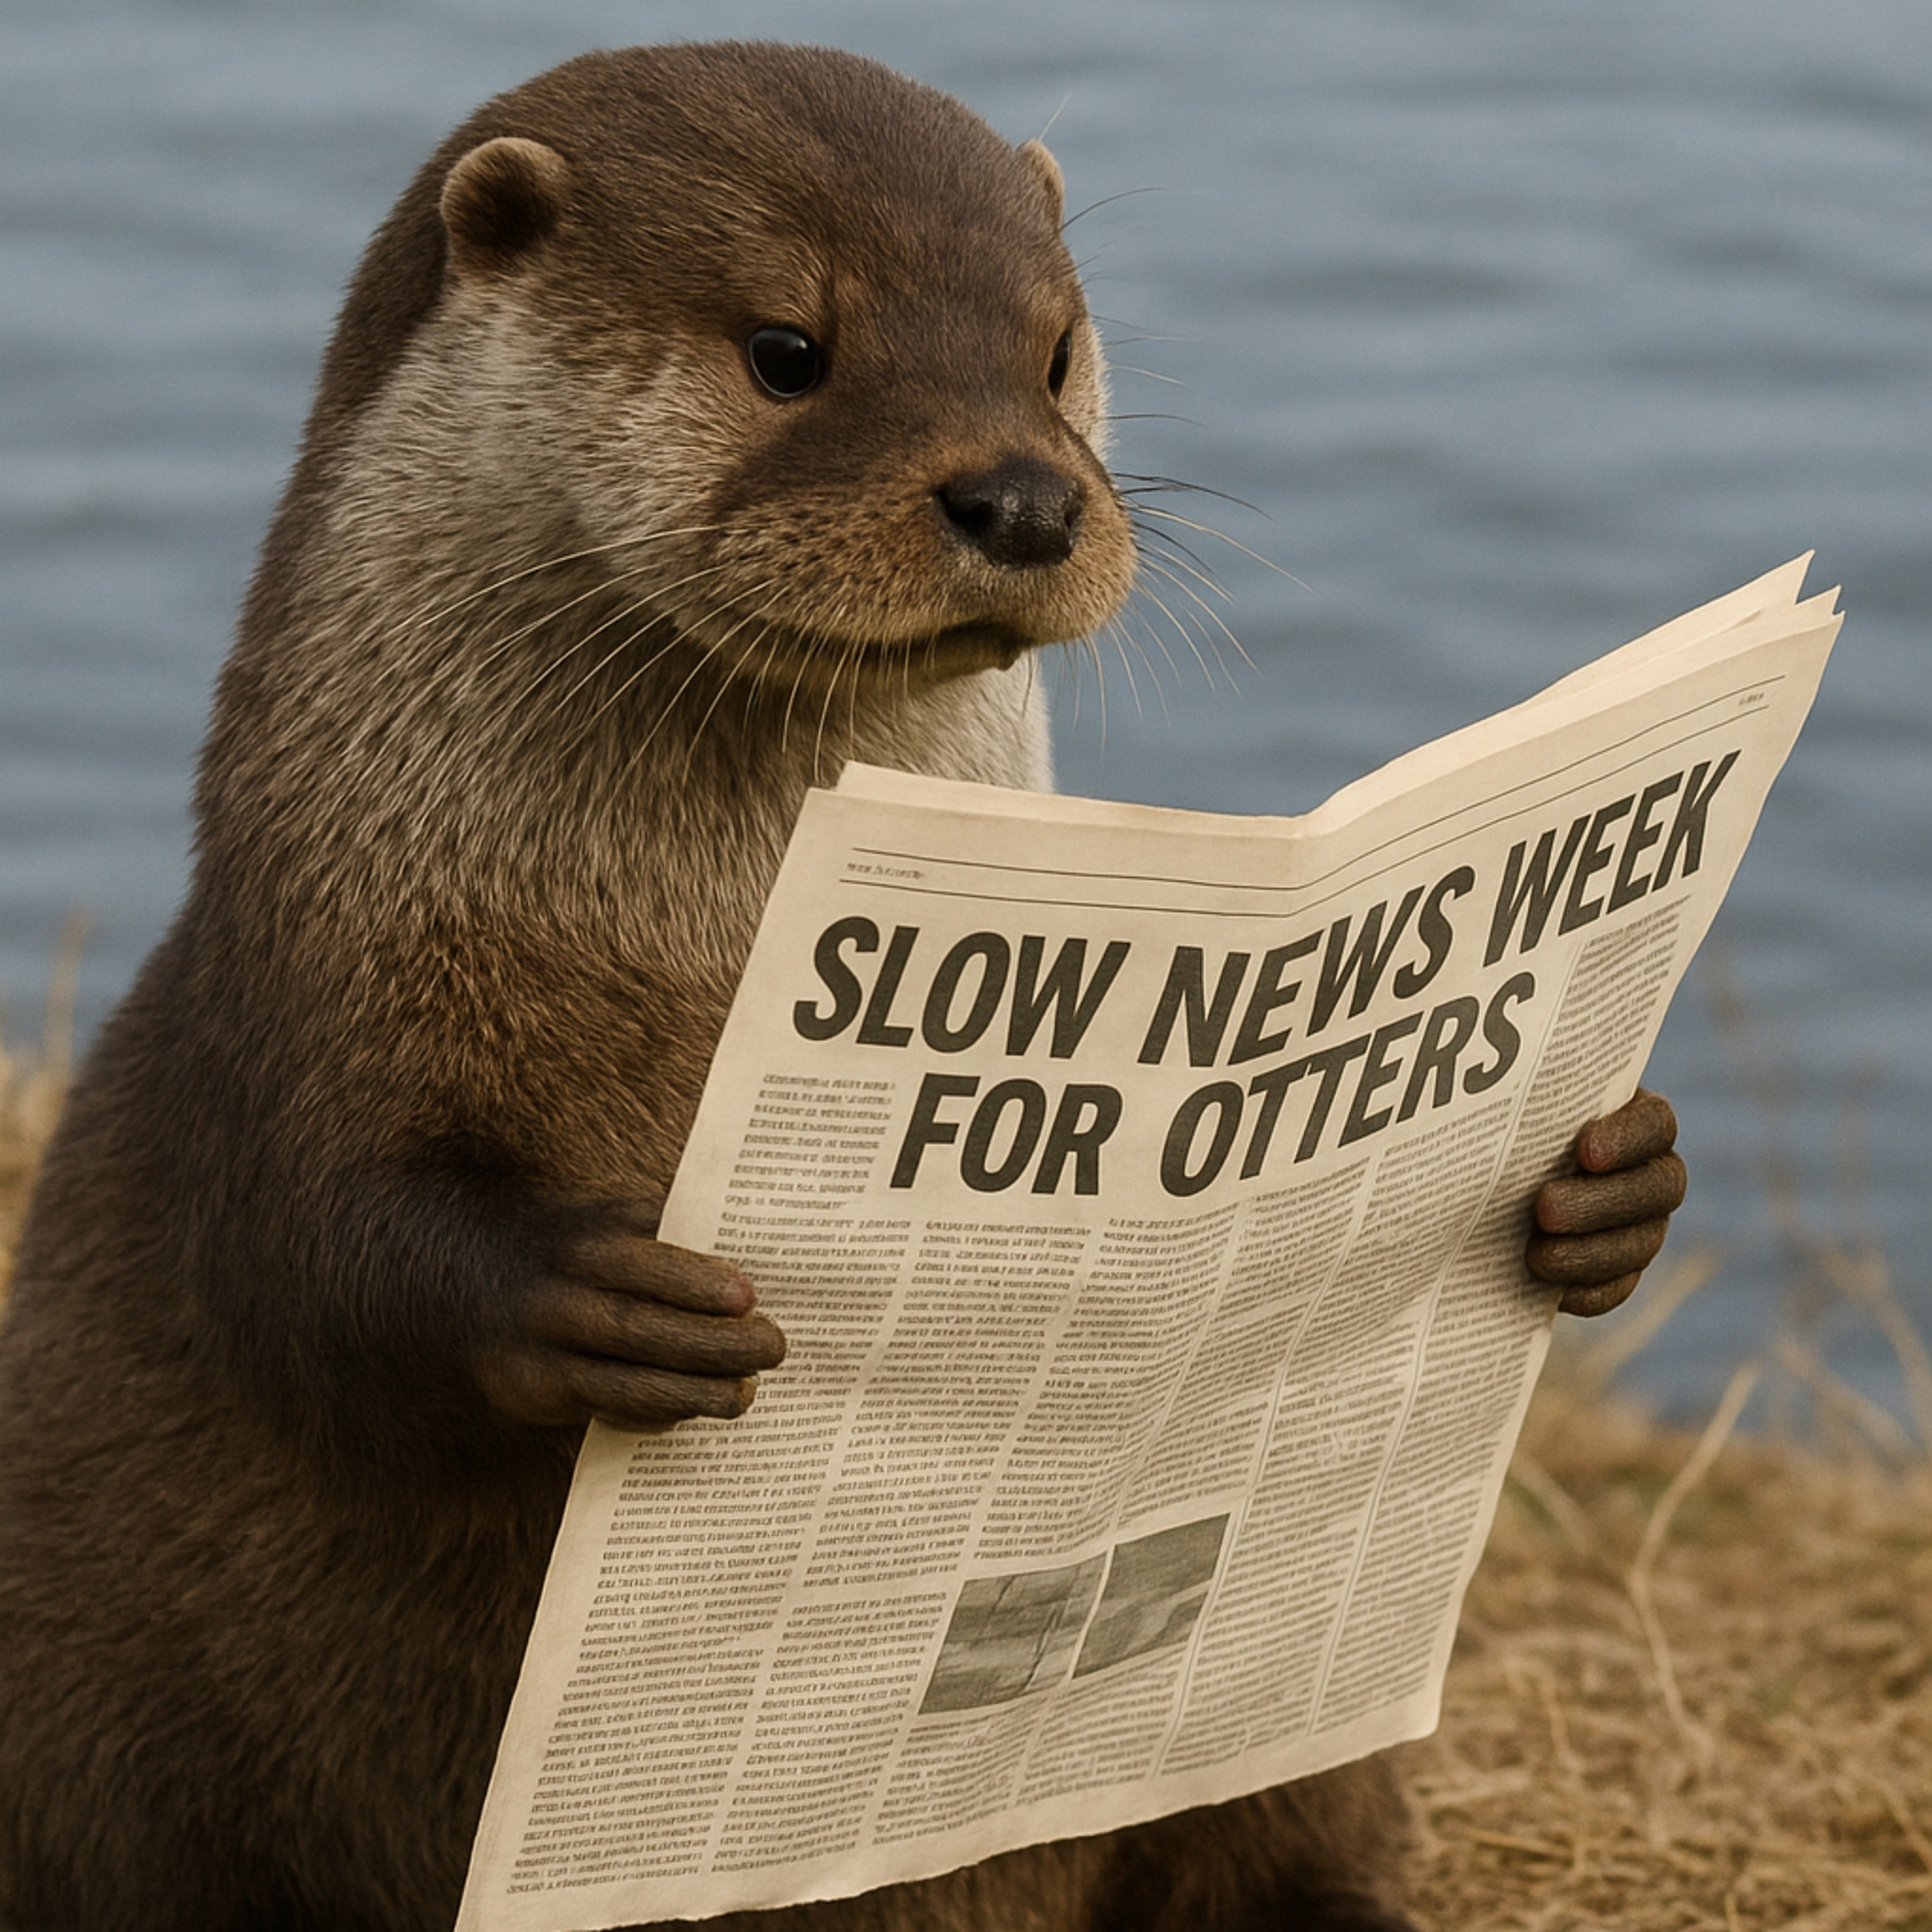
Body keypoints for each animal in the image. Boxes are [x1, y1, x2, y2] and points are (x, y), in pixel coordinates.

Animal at [0, 42, 1684, 1932]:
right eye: (787, 349)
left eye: (1053, 348)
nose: (1022, 494)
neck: (687, 952)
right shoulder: (305, 1004)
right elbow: (317, 1252)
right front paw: (592, 1299)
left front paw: (1611, 1183)